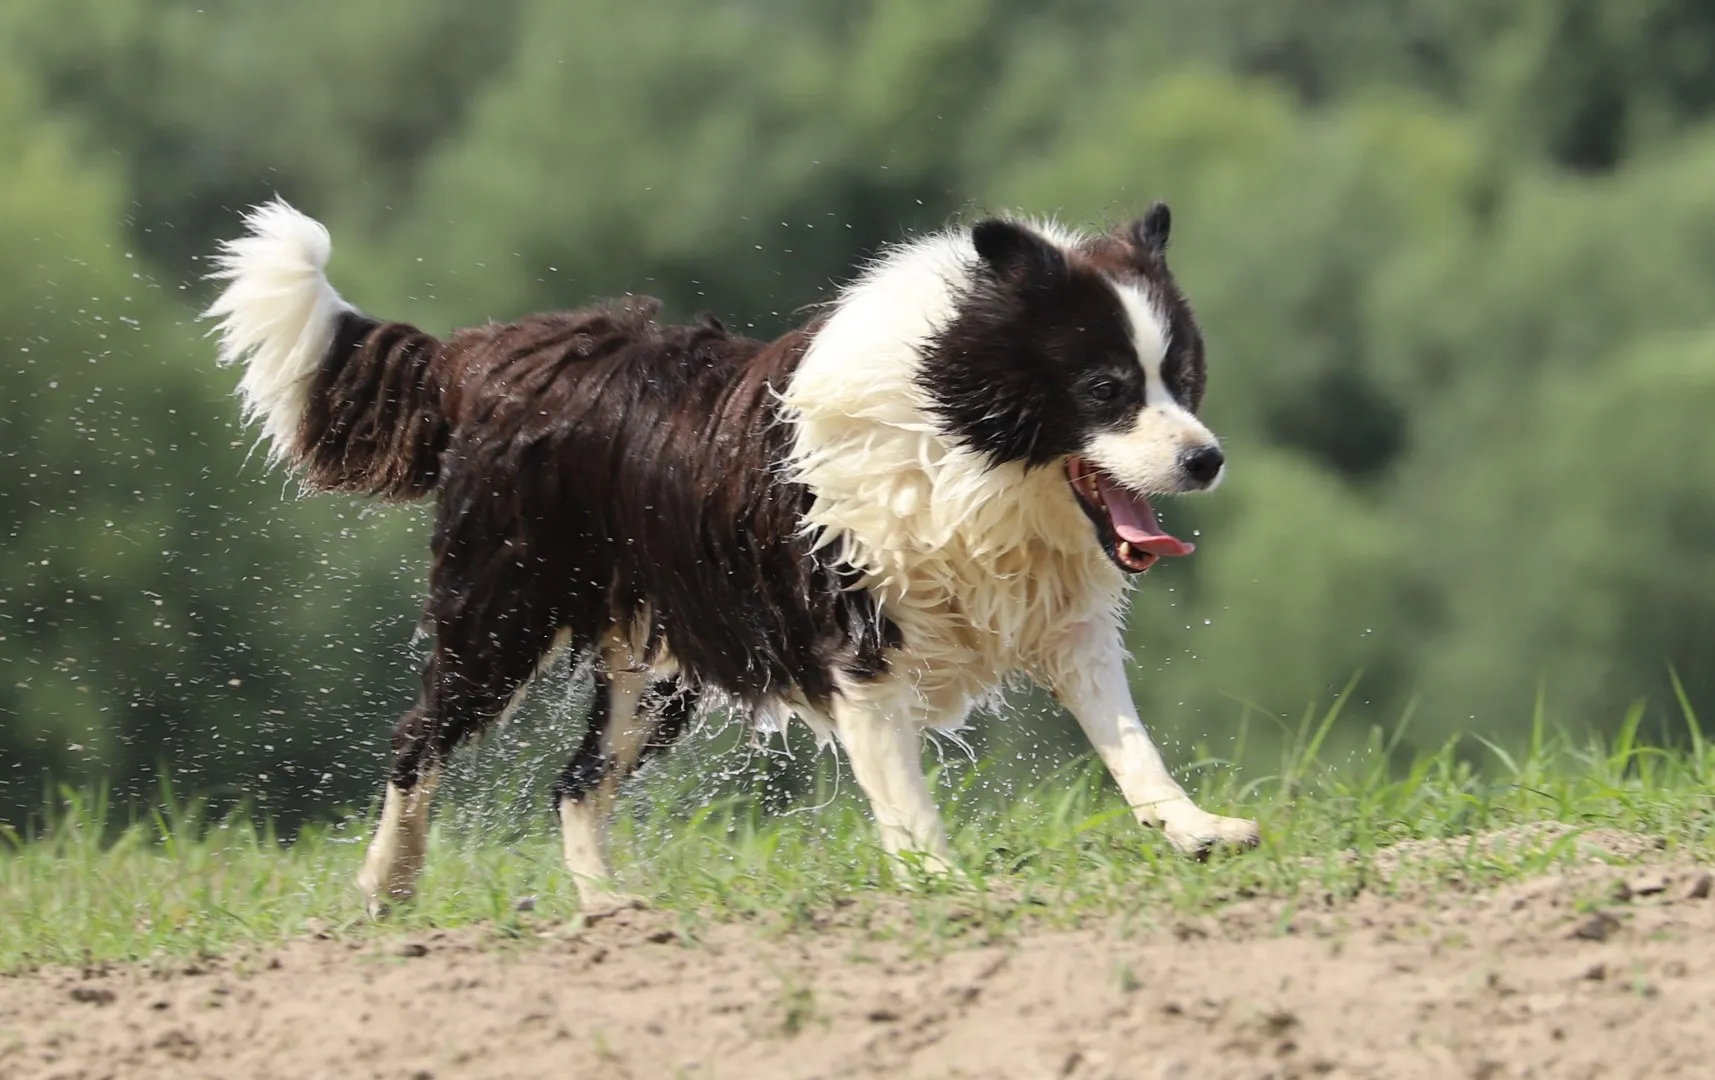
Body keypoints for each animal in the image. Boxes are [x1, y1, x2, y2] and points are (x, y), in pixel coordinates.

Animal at [204, 201, 1262, 912]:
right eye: (1105, 387)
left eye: (1183, 378)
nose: (1206, 459)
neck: (961, 445)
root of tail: (488, 355)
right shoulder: (856, 643)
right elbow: (905, 795)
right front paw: (940, 881)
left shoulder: (1063, 623)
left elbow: (1131, 747)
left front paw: (1197, 830)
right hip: (502, 612)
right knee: (418, 736)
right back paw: (388, 883)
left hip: (652, 667)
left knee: (573, 782)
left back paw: (611, 910)